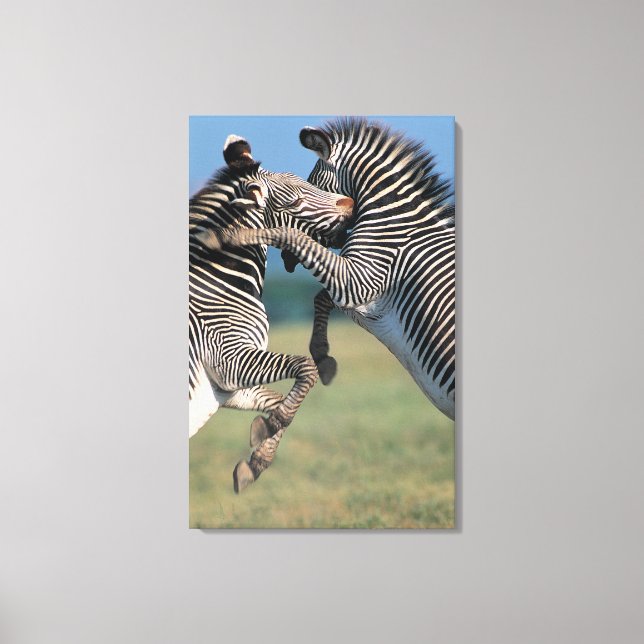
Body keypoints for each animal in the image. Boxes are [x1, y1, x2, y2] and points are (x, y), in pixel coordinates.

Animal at [190, 134, 353, 492]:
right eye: (294, 202)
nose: (351, 203)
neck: (218, 282)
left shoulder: (226, 387)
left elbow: (277, 397)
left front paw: (257, 459)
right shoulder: (228, 358)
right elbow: (307, 368)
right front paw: (273, 423)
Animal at [201, 118, 455, 420]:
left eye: (311, 184)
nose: (286, 260)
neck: (392, 221)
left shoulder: (361, 280)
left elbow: (290, 236)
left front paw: (229, 234)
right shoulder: (360, 291)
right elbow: (321, 297)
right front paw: (321, 354)